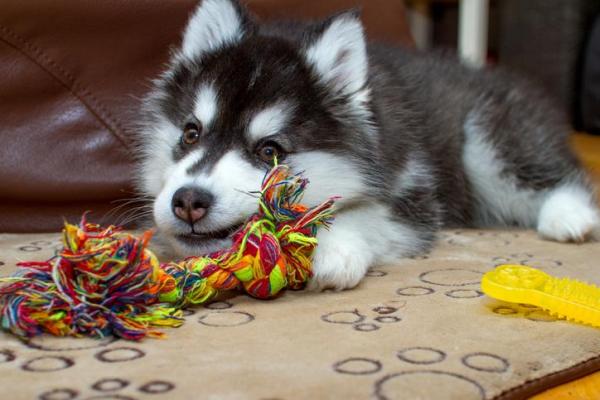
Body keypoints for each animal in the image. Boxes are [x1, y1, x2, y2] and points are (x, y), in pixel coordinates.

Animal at [137, 0, 600, 290]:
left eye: (269, 150)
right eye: (191, 133)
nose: (188, 201)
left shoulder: (415, 198)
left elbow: (361, 214)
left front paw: (335, 252)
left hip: (487, 143)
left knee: (558, 176)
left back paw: (569, 217)